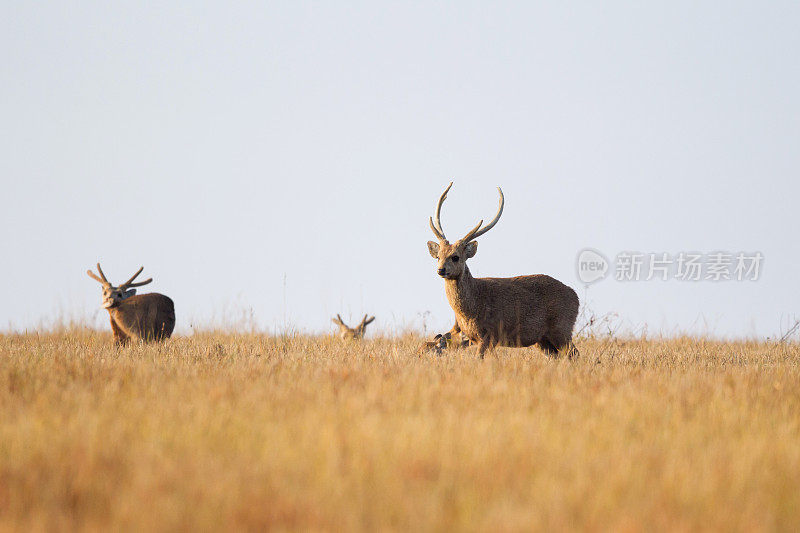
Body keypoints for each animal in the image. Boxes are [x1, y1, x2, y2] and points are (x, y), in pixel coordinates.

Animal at [424, 181, 580, 360]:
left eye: (455, 257)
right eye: (438, 256)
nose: (440, 270)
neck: (472, 306)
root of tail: (576, 297)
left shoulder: (489, 334)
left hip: (562, 328)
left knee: (575, 354)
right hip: (543, 340)